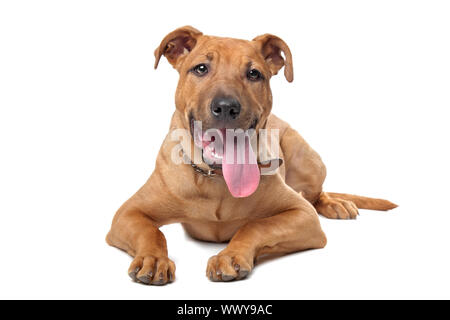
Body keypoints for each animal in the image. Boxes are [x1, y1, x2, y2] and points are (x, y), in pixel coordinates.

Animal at [106, 25, 398, 284]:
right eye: (201, 68)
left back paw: (336, 204)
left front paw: (231, 256)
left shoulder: (302, 215)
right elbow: (151, 232)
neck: (217, 181)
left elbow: (256, 225)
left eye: (254, 74)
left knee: (316, 195)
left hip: (309, 161)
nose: (226, 107)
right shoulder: (128, 213)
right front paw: (153, 259)